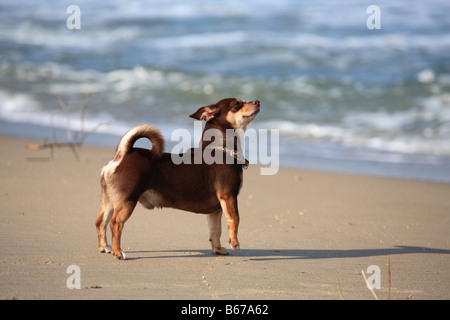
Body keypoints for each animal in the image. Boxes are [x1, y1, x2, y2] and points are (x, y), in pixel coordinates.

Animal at [95, 98, 260, 260]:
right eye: (237, 104)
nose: (258, 101)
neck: (222, 148)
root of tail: (122, 155)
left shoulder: (216, 209)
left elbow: (215, 231)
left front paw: (217, 249)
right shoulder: (228, 196)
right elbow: (235, 219)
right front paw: (235, 242)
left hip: (110, 201)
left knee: (100, 221)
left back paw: (105, 247)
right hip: (127, 201)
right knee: (115, 224)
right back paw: (118, 252)